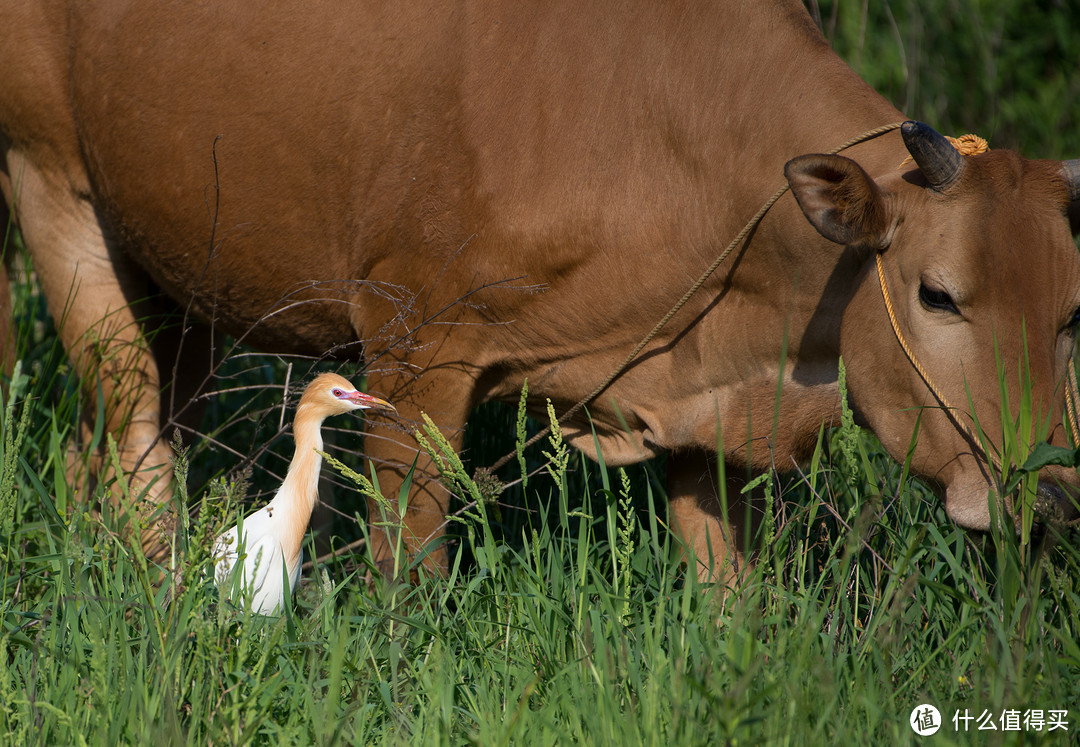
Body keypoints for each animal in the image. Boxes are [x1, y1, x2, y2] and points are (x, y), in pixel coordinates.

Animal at [0, 0, 1075, 578]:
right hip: (55, 191)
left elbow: (726, 593)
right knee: (135, 442)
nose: (1053, 488)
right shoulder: (413, 347)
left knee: (105, 451)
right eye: (937, 294)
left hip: (181, 282)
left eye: (1071, 315)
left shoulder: (713, 407)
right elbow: (406, 565)